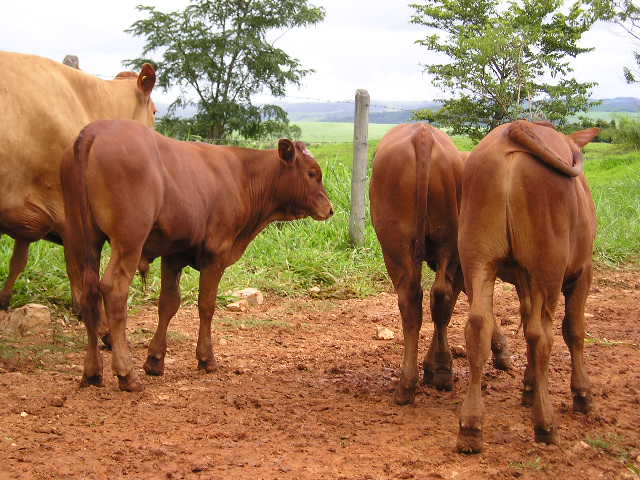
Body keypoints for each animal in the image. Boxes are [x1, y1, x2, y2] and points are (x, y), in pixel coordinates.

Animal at [61, 118, 336, 392]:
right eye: (312, 173)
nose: (330, 209)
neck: (242, 175)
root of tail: (95, 130)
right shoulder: (216, 254)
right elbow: (206, 305)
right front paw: (206, 358)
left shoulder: (174, 253)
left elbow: (168, 303)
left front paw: (155, 360)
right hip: (128, 240)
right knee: (113, 290)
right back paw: (126, 374)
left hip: (83, 238)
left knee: (88, 292)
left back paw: (92, 372)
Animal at [370, 124, 510, 404]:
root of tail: (422, 133)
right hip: (443, 242)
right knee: (437, 296)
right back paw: (435, 373)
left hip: (398, 247)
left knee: (416, 299)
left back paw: (413, 381)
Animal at [456, 121, 600, 454]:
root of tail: (514, 129)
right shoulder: (582, 271)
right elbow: (574, 330)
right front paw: (582, 394)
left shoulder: (522, 277)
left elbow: (524, 317)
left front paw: (529, 386)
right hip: (548, 268)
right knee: (542, 334)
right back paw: (545, 423)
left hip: (478, 259)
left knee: (478, 326)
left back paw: (470, 426)